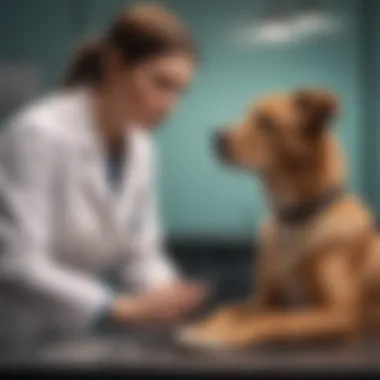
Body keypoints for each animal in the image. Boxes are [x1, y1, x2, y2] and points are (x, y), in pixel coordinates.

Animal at [177, 87, 380, 348]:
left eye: (267, 122)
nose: (214, 137)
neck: (294, 220)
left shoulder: (339, 315)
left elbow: (274, 320)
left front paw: (218, 335)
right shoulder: (264, 300)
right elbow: (230, 308)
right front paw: (208, 324)